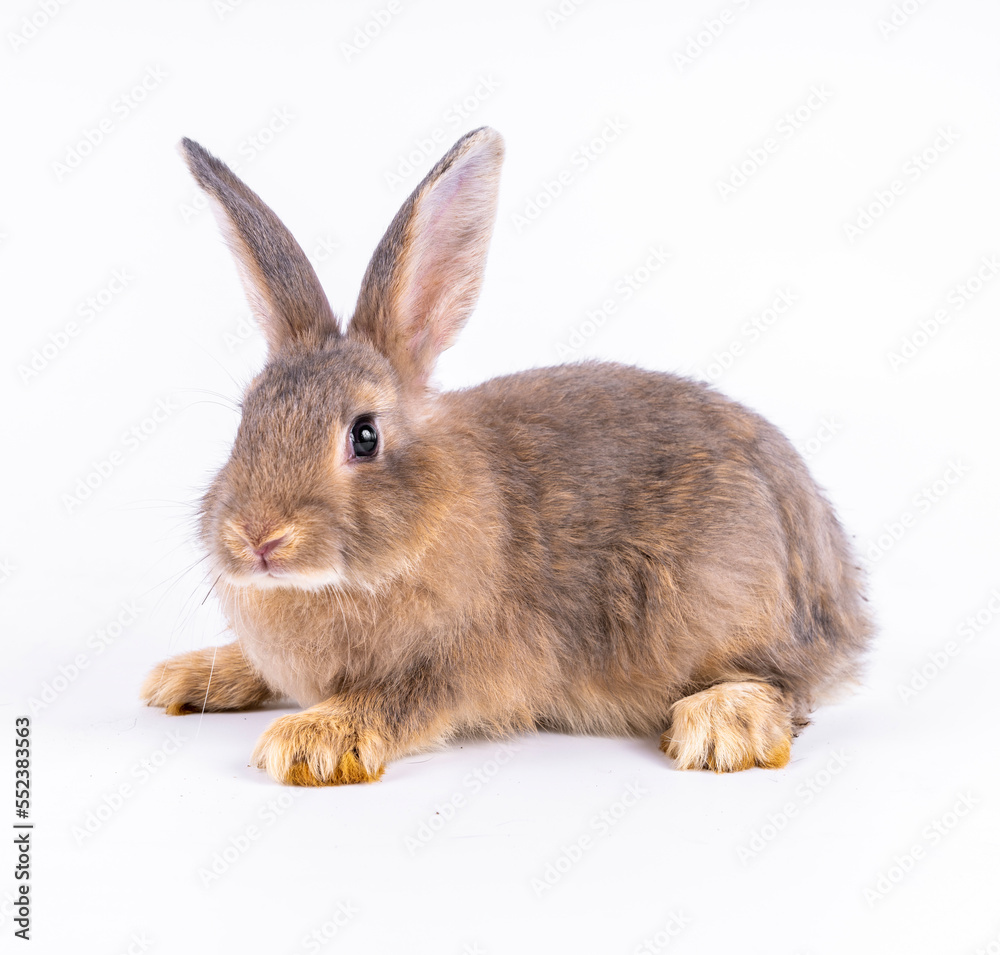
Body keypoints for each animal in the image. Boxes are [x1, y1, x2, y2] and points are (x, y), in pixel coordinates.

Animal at [141, 126, 873, 786]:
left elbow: (400, 699)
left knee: (783, 683)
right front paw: (185, 676)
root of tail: (839, 592)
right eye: (245, 421)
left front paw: (310, 740)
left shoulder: (464, 662)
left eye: (365, 435)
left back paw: (722, 725)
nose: (259, 538)